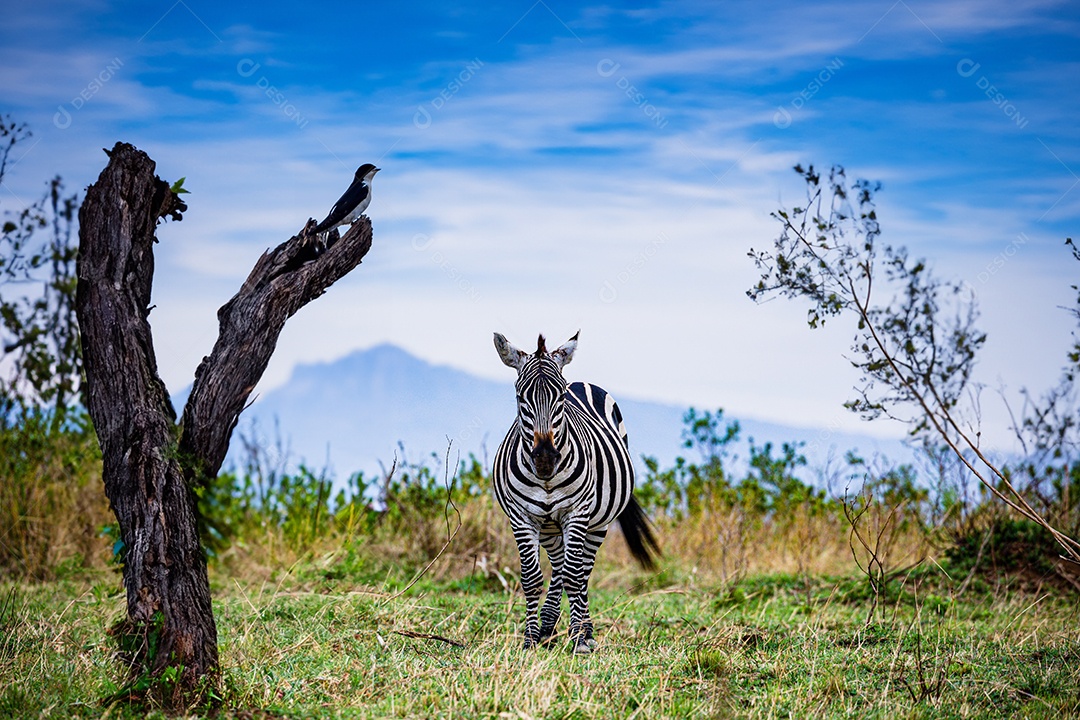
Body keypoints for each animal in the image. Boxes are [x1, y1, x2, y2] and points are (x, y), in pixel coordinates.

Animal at [492, 330, 656, 651]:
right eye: (520, 398)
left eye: (561, 398)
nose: (544, 459)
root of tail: (581, 381)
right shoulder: (521, 517)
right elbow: (532, 578)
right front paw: (530, 639)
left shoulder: (577, 513)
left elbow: (574, 574)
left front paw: (579, 638)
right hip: (548, 526)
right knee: (559, 566)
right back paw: (547, 626)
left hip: (598, 522)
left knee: (581, 571)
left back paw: (584, 630)